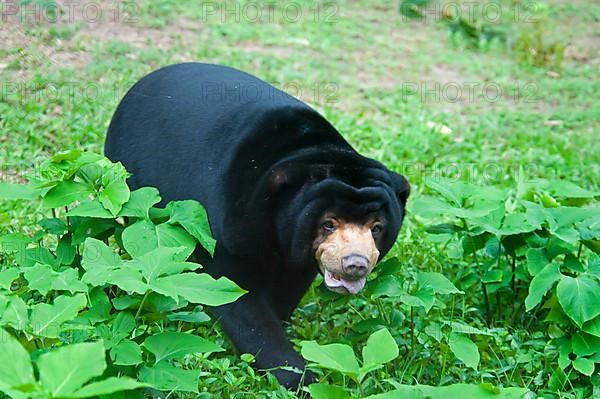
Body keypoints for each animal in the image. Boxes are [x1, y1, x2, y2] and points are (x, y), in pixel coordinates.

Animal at [105, 63, 410, 390]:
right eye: (328, 223)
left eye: (376, 227)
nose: (355, 264)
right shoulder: (231, 226)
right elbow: (240, 300)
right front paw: (301, 378)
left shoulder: (297, 257)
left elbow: (287, 287)